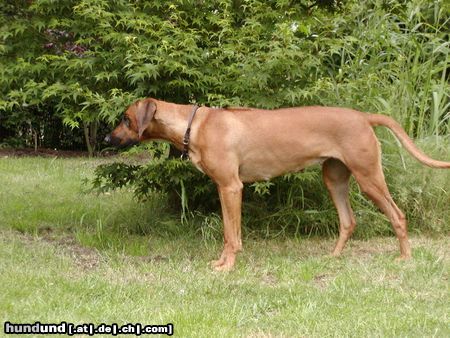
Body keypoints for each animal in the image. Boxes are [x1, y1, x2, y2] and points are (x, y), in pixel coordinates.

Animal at [106, 97, 450, 270]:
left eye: (125, 118)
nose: (108, 139)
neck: (194, 125)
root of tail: (363, 116)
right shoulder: (223, 189)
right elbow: (228, 232)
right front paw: (222, 261)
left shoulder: (231, 187)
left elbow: (232, 235)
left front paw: (228, 266)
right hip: (334, 178)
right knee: (348, 221)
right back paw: (334, 257)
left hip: (369, 177)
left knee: (398, 215)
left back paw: (404, 258)